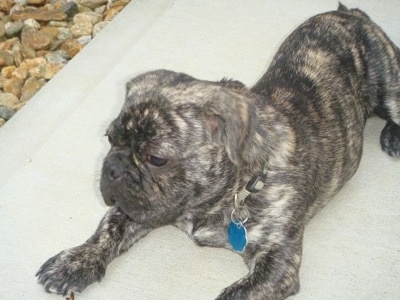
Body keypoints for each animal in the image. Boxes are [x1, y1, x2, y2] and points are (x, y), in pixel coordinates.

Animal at [36, 4, 398, 300]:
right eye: (110, 139)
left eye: (157, 159)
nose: (113, 169)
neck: (229, 192)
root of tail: (351, 14)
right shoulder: (137, 208)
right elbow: (109, 229)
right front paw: (75, 262)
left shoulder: (277, 263)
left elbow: (235, 294)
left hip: (390, 87)